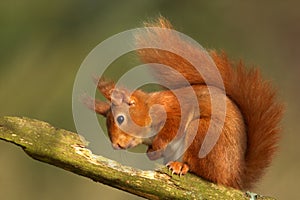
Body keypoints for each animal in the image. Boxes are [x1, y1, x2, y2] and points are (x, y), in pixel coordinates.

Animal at [85, 17, 284, 191]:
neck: (149, 109)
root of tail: (233, 177)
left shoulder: (175, 110)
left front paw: (155, 148)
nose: (116, 145)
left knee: (202, 170)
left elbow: (172, 128)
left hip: (203, 134)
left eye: (120, 119)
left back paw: (181, 165)